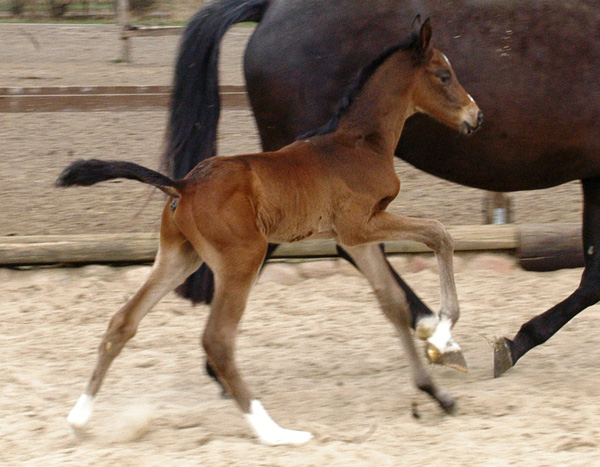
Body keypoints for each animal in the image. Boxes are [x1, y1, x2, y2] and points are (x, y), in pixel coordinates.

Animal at [59, 19, 482, 446]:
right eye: (443, 75)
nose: (476, 116)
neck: (362, 142)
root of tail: (184, 184)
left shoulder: (354, 237)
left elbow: (392, 302)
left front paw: (437, 392)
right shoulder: (360, 224)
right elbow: (439, 234)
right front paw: (441, 337)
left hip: (180, 257)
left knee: (122, 322)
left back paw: (78, 419)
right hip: (243, 257)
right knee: (218, 340)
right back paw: (276, 432)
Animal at [164, 0, 600, 378]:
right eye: (444, 75)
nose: (477, 116)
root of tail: (268, 7)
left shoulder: (594, 174)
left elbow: (591, 275)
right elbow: (592, 280)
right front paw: (513, 343)